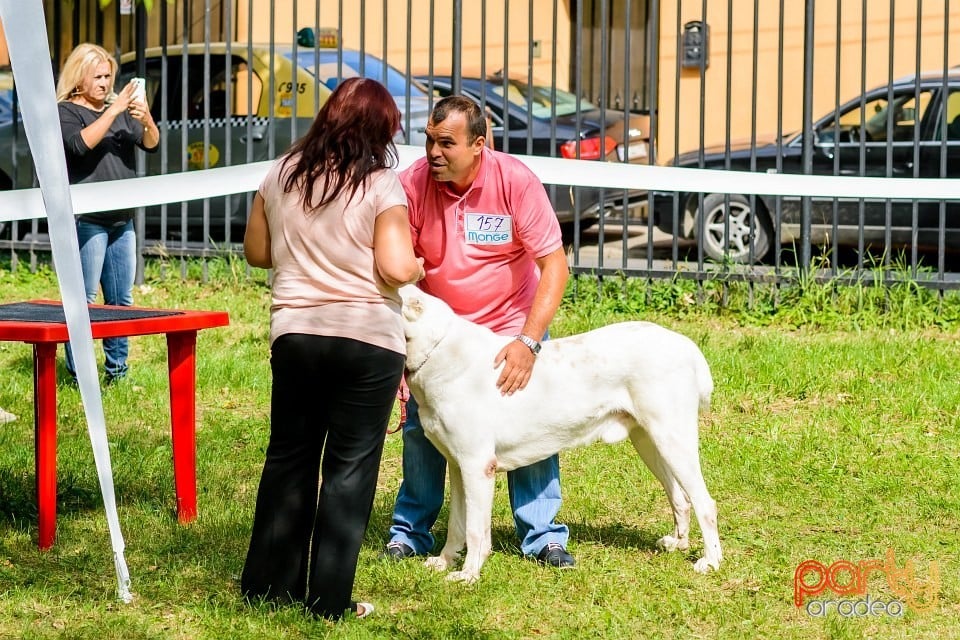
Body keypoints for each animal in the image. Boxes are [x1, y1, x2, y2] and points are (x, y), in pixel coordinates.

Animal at [398, 288, 720, 584]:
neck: (437, 350)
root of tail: (686, 345)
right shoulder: (457, 466)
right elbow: (457, 523)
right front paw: (443, 562)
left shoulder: (477, 467)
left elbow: (476, 530)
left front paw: (468, 575)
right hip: (649, 442)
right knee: (680, 498)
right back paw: (677, 543)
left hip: (672, 439)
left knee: (705, 503)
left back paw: (710, 561)